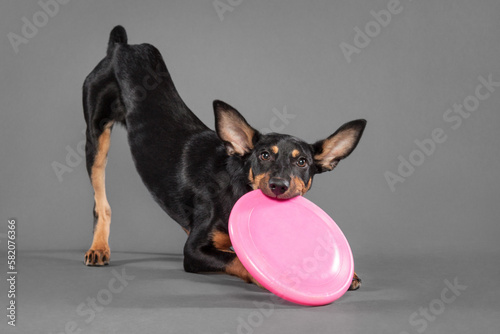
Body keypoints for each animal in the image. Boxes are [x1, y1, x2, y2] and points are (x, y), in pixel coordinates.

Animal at [83, 26, 368, 290]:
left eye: (302, 162)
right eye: (264, 155)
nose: (278, 185)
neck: (238, 187)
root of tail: (122, 46)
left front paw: (350, 274)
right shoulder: (193, 251)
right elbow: (238, 260)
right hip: (96, 138)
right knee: (100, 201)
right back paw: (99, 247)